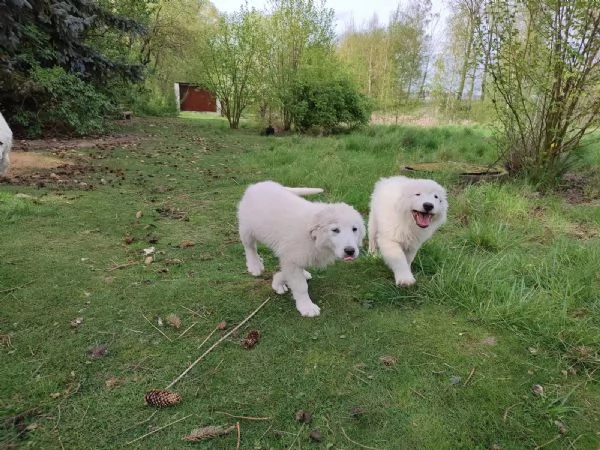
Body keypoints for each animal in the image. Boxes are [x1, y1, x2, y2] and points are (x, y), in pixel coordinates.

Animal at [239, 181, 366, 318]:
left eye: (354, 229)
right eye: (335, 230)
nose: (350, 251)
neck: (314, 237)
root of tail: (259, 184)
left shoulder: (294, 256)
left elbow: (288, 272)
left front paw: (278, 281)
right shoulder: (291, 257)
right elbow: (300, 286)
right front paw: (306, 306)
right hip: (247, 228)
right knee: (250, 247)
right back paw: (255, 265)